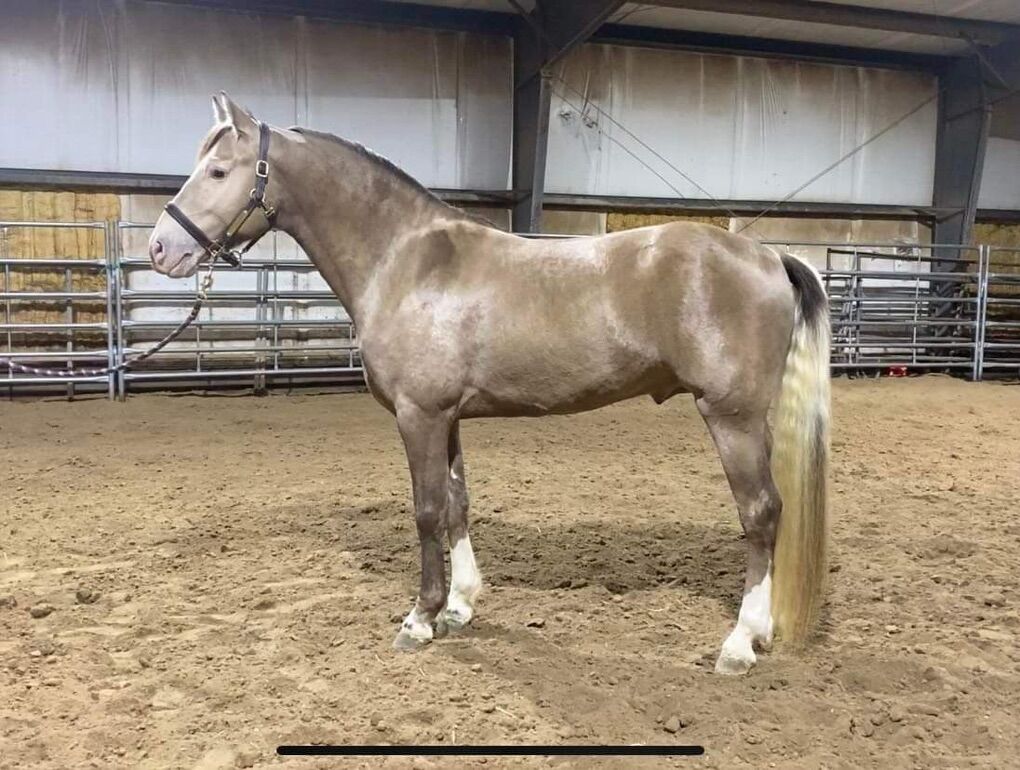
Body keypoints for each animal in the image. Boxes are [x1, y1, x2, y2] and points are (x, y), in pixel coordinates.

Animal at [148, 93, 830, 675]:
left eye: (219, 171)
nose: (161, 248)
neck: (406, 260)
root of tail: (769, 256)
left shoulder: (418, 415)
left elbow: (426, 511)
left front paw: (419, 618)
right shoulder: (446, 417)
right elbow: (457, 504)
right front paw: (459, 605)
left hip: (731, 418)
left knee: (761, 513)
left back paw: (741, 641)